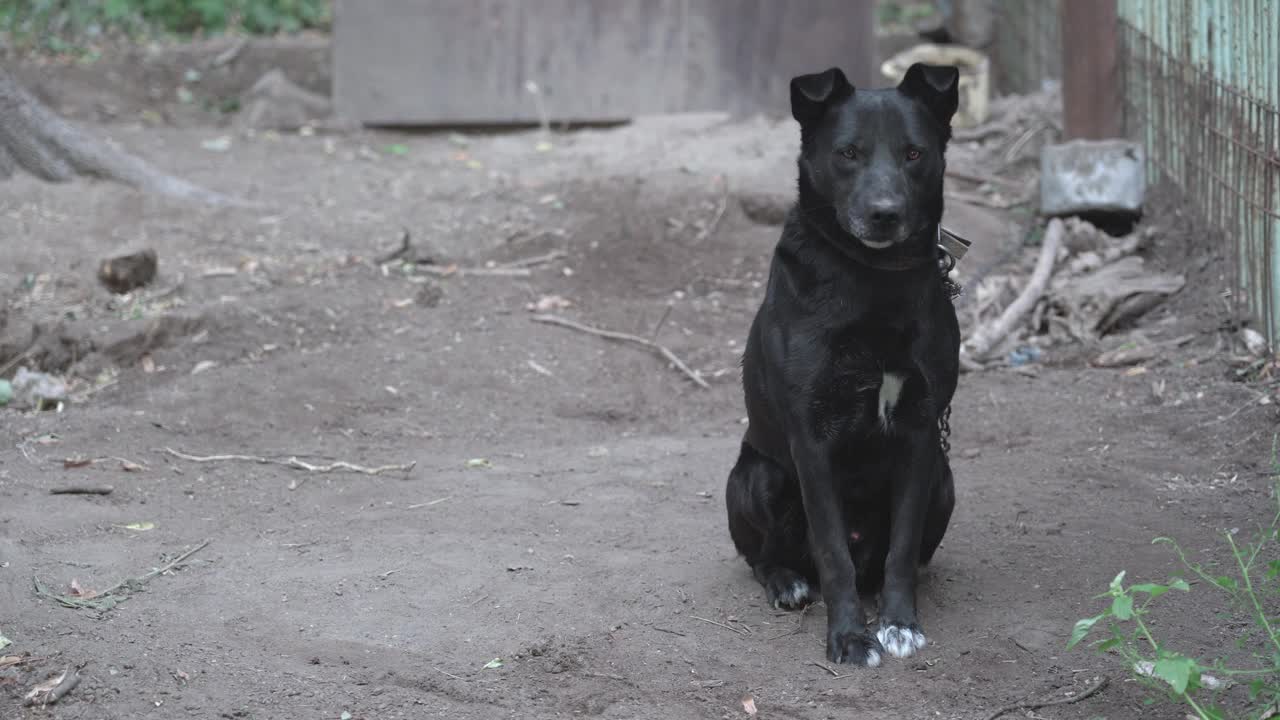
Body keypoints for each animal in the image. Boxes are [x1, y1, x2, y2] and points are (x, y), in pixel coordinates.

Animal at [732, 64, 962, 666]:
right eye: (848, 153)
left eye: (913, 153)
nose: (884, 214)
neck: (874, 280)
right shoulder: (811, 438)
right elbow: (832, 550)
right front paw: (850, 638)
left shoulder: (921, 432)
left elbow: (902, 547)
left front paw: (899, 623)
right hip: (757, 476)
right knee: (767, 558)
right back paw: (786, 582)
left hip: (946, 479)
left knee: (888, 561)